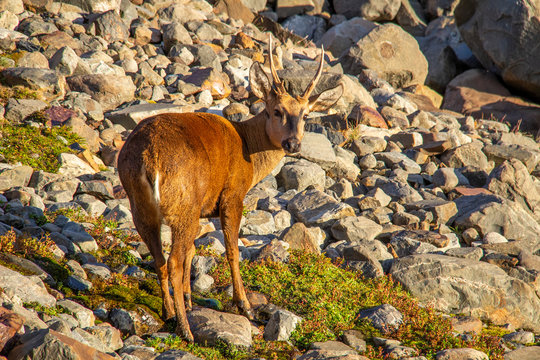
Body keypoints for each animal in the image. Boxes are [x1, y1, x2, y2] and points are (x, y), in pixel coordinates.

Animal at [116, 38, 344, 342]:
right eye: (276, 111)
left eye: (306, 115)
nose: (293, 144)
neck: (248, 148)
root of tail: (149, 158)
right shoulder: (233, 195)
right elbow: (232, 251)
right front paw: (244, 305)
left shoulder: (203, 209)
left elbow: (192, 251)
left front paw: (189, 300)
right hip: (183, 205)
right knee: (173, 262)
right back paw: (186, 330)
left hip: (142, 208)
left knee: (161, 259)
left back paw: (170, 313)